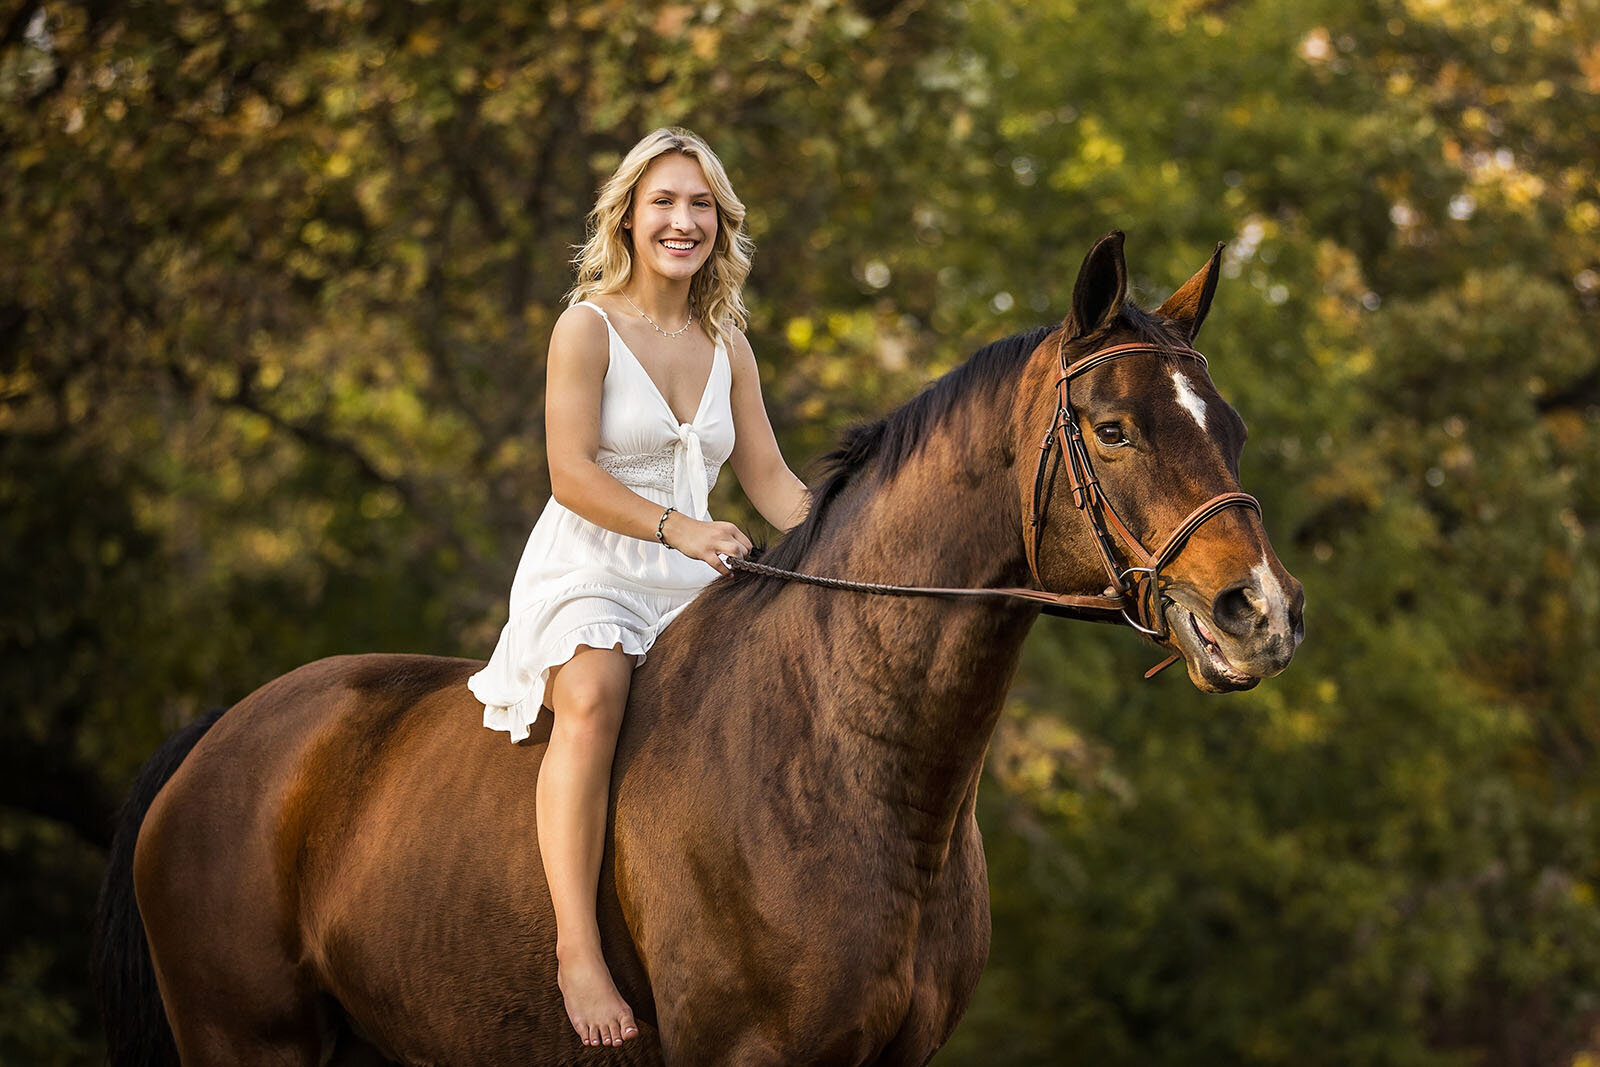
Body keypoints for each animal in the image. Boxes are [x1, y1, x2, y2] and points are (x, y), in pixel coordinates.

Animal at [93, 235, 1299, 1067]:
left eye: (1232, 427)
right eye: (1114, 429)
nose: (1262, 612)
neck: (850, 760)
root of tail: (225, 733)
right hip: (250, 1040)